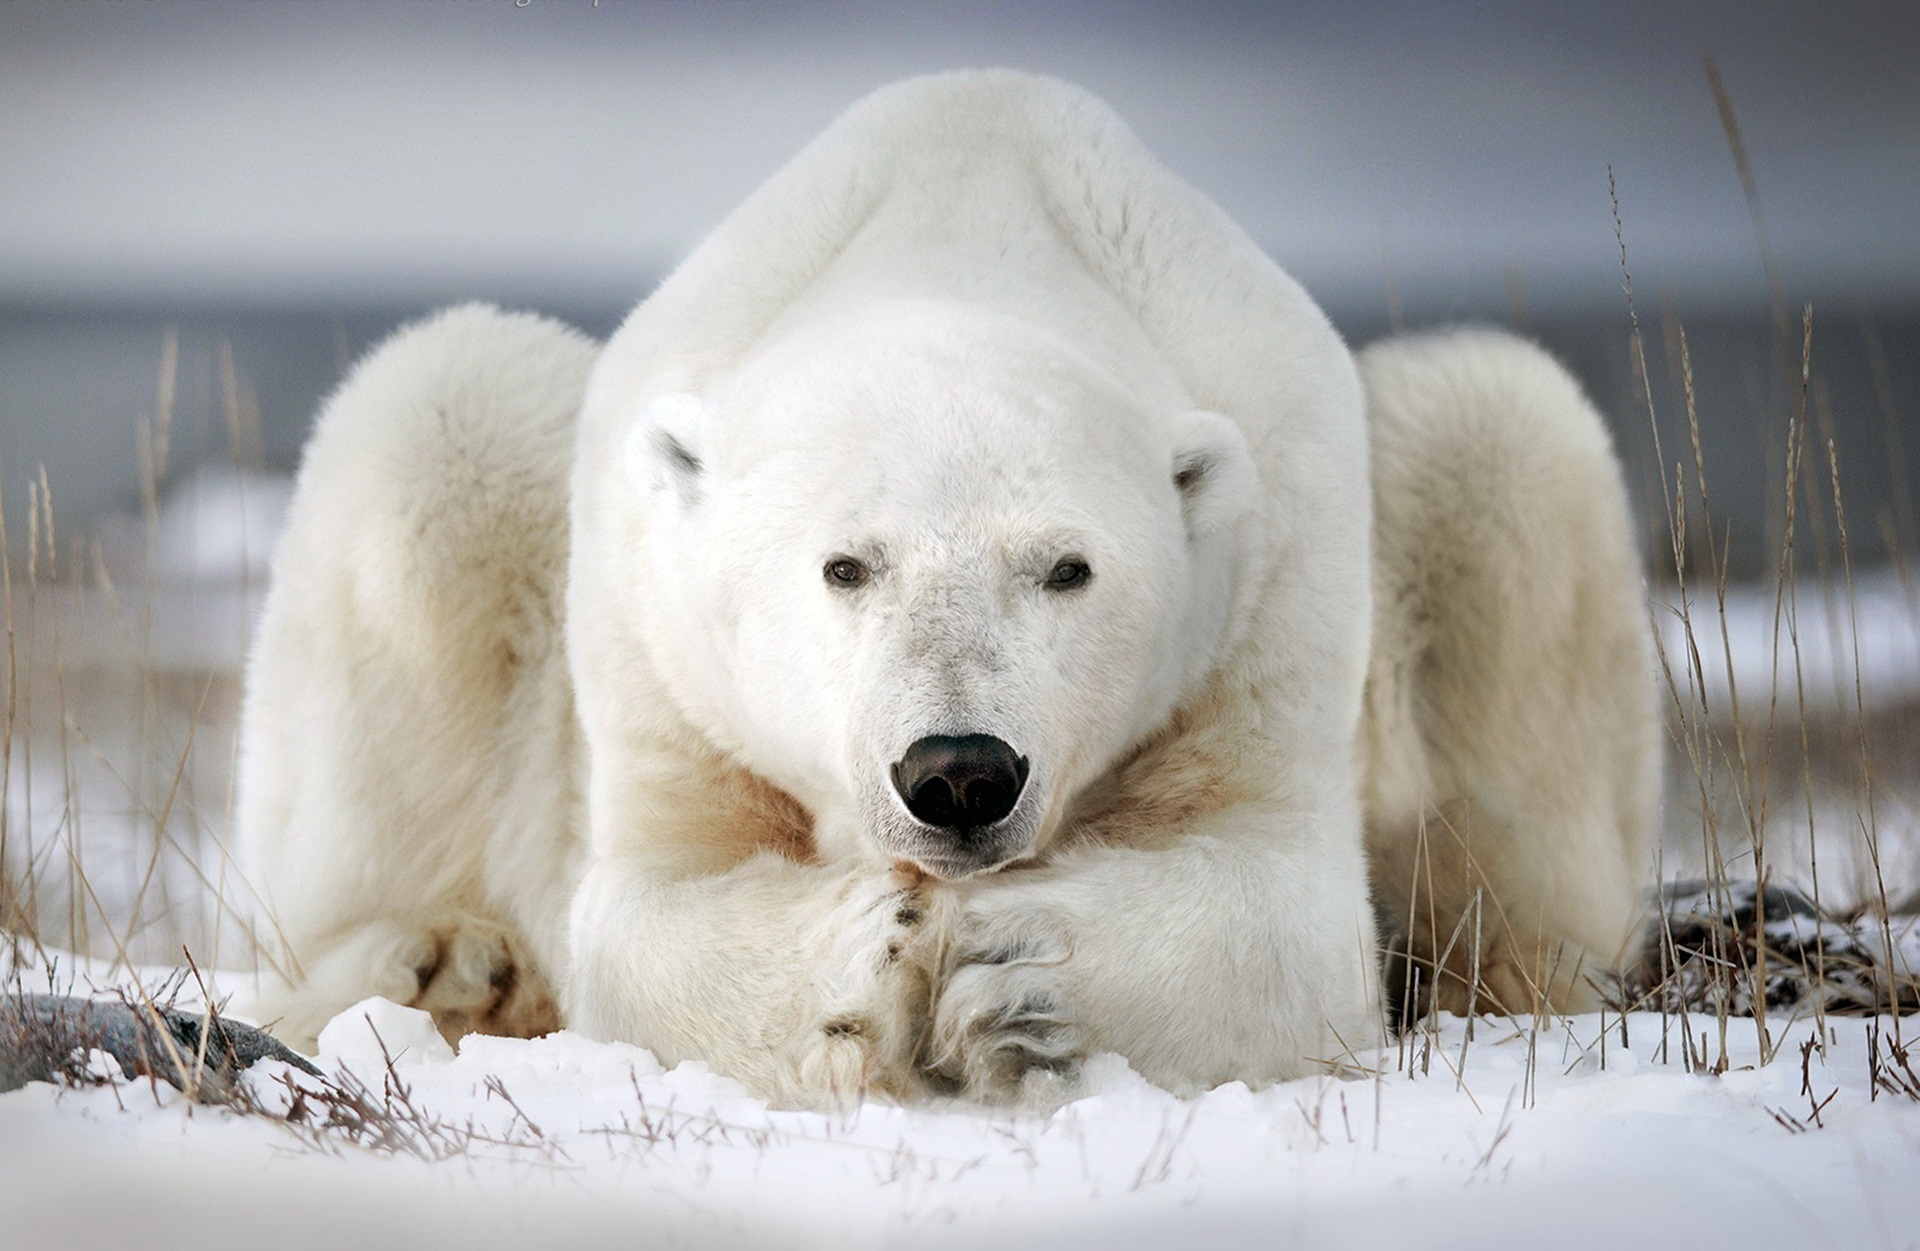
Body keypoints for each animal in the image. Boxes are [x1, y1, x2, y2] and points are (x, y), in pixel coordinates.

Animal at [232, 70, 1658, 1105]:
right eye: (844, 565)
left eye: (1069, 568)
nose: (960, 773)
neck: (964, 223)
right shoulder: (658, 646)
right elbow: (647, 908)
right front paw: (867, 960)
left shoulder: (1272, 580)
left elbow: (1285, 908)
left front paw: (1014, 974)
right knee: (436, 419)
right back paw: (442, 965)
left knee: (1502, 442)